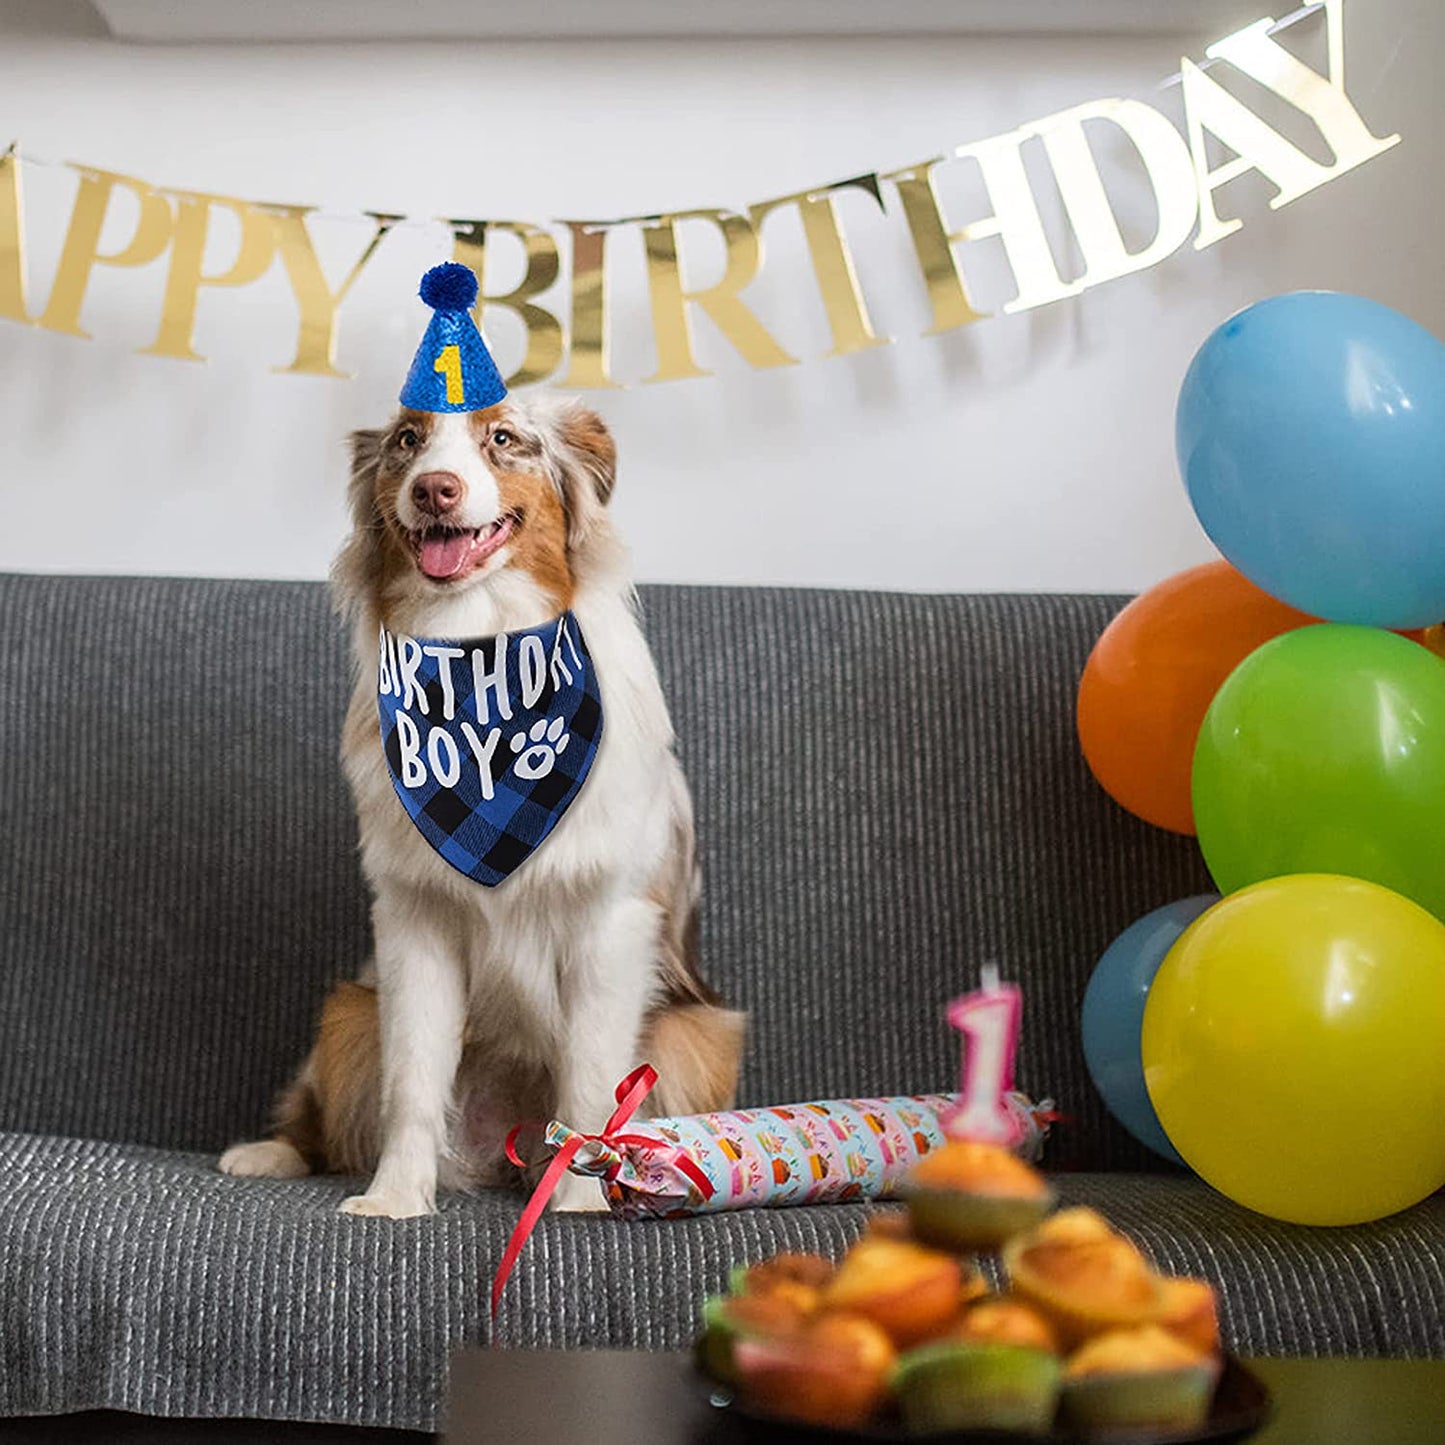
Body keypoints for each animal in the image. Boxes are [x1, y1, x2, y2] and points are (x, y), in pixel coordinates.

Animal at [222, 398, 757, 1219]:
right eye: (408, 441)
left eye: (504, 439)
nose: (434, 489)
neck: (479, 650)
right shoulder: (415, 917)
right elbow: (412, 1078)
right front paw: (395, 1200)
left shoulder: (610, 920)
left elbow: (592, 1078)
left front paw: (581, 1202)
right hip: (347, 1013)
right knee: (329, 1115)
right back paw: (269, 1152)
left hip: (697, 1032)